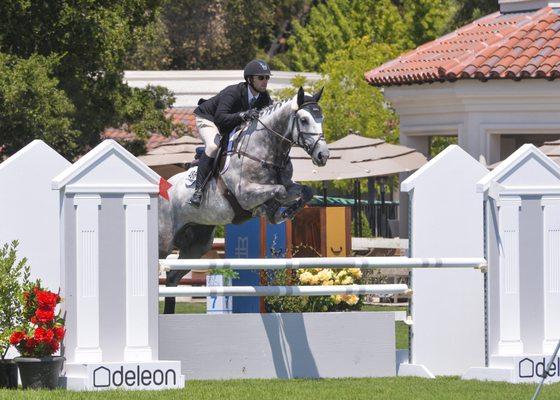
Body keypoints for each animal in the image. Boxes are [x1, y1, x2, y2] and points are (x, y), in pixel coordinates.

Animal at [159, 86, 328, 312]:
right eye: (303, 119)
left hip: (197, 244)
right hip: (164, 241)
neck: (266, 151)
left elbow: (304, 190)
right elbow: (279, 191)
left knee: (172, 277)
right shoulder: (245, 194)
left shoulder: (288, 185)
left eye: (322, 118)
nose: (323, 155)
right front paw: (273, 212)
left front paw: (287, 211)